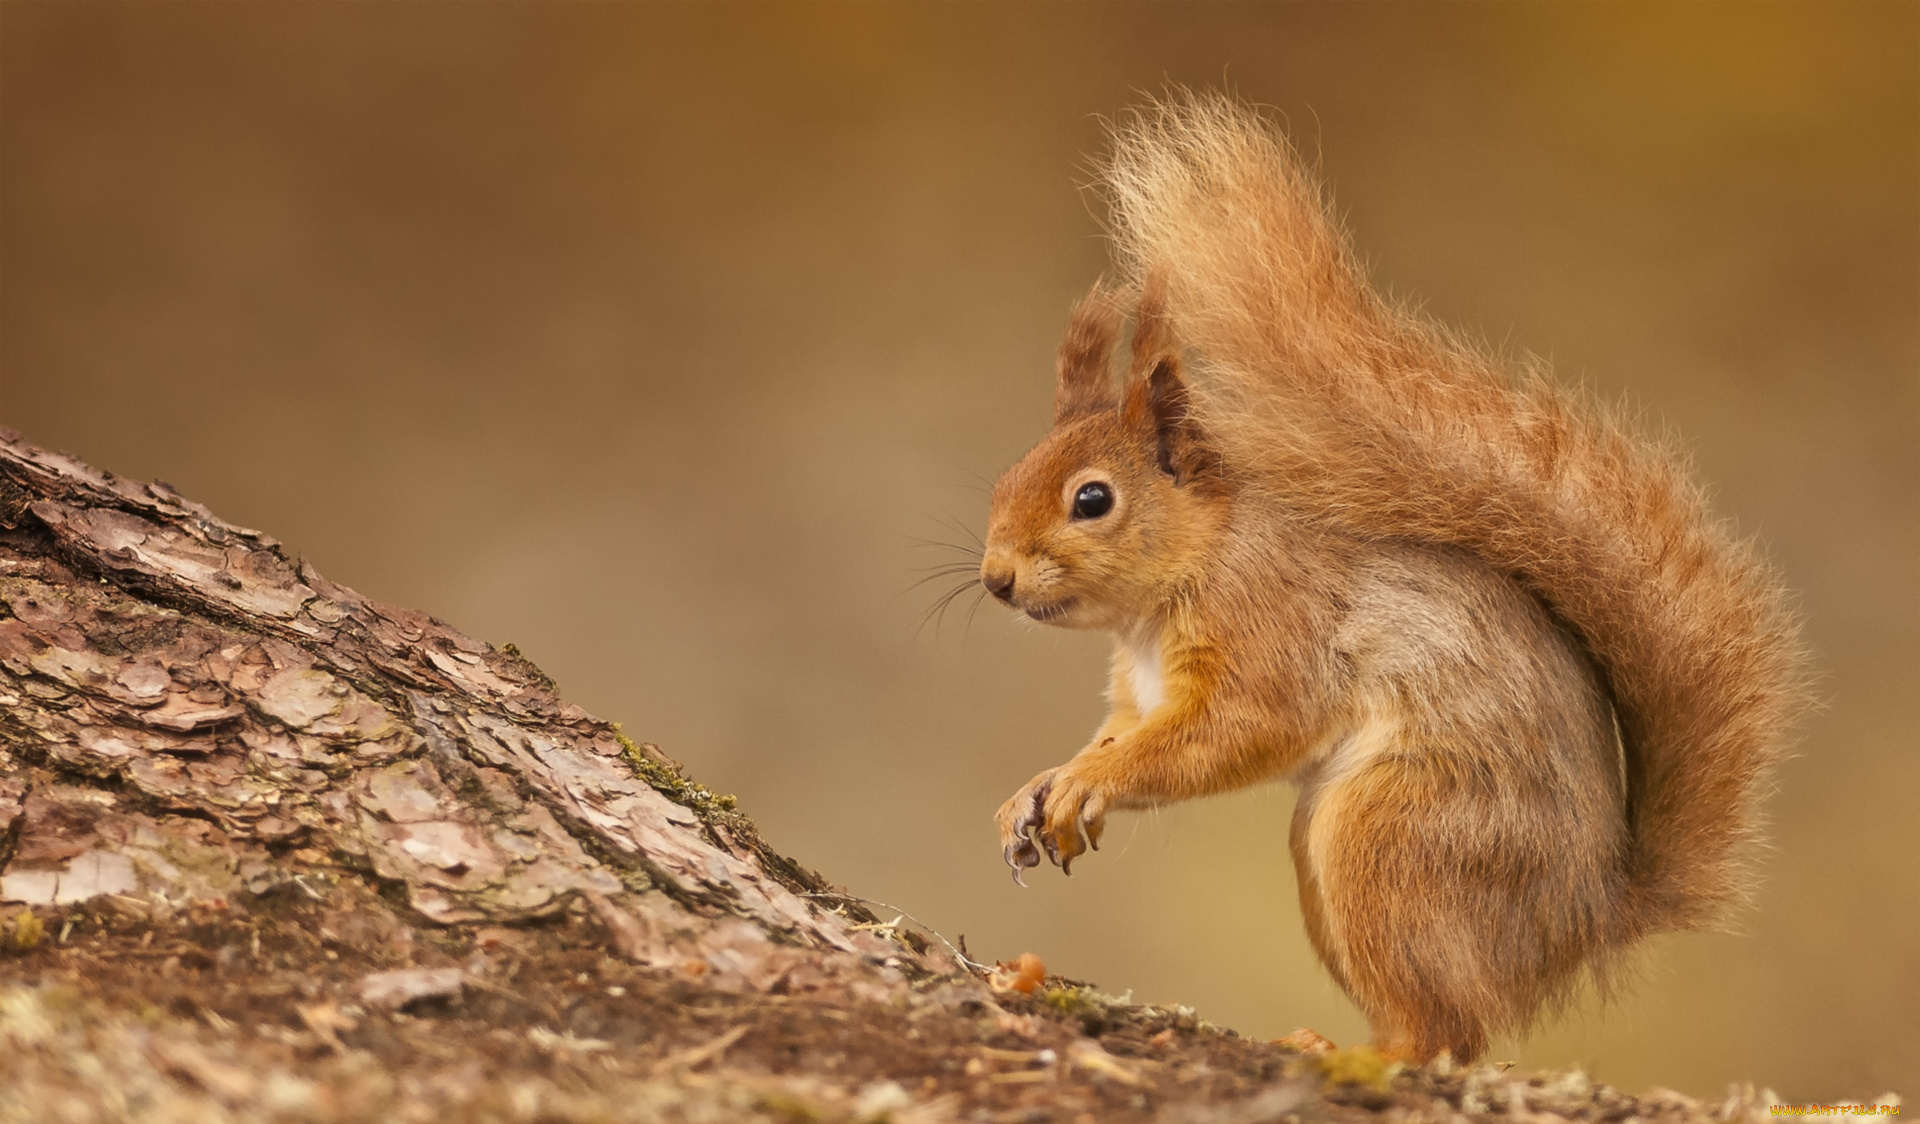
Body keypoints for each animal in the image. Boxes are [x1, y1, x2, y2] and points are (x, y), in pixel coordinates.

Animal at [983, 96, 1804, 1060]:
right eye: (1004, 479)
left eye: (1093, 499)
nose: (995, 578)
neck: (1180, 580)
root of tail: (1587, 919)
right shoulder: (1138, 691)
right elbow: (1119, 732)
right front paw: (1043, 786)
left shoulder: (1270, 629)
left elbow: (1229, 732)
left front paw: (1089, 785)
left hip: (1394, 837)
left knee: (1445, 1032)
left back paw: (1355, 1055)